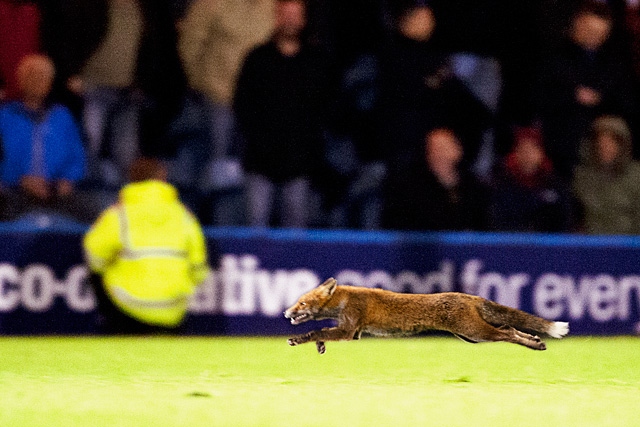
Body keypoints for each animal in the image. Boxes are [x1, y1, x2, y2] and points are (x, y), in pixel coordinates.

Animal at [284, 278, 568, 354]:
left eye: (302, 303)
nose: (286, 312)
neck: (344, 299)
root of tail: (470, 296)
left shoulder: (349, 329)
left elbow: (315, 331)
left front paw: (299, 340)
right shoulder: (351, 332)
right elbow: (321, 333)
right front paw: (319, 345)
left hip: (476, 333)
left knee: (507, 332)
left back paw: (535, 345)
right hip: (472, 335)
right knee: (511, 328)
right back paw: (536, 342)